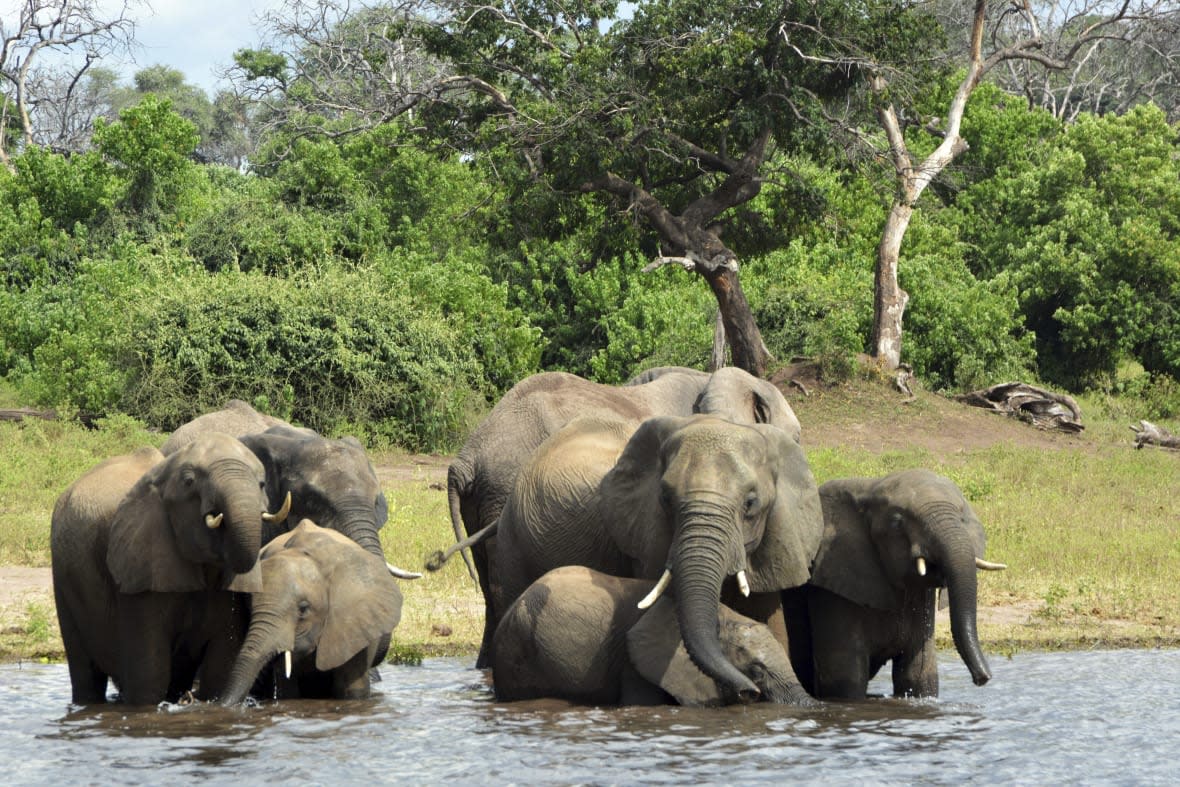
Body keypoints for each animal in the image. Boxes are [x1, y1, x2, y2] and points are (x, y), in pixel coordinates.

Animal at [50, 434, 290, 703]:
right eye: (189, 482)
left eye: (261, 484)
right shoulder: (140, 566)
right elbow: (149, 677)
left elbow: (220, 670)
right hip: (63, 577)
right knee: (86, 674)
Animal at [778, 471, 1010, 698]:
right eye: (897, 523)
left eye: (962, 519)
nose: (982, 679)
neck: (869, 487)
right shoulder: (831, 587)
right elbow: (845, 682)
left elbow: (918, 675)